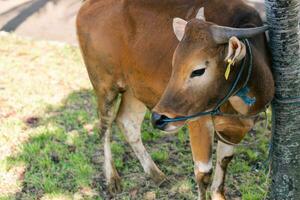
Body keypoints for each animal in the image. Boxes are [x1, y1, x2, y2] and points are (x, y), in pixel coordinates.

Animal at [77, 0, 274, 199]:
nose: (158, 118)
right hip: (104, 86)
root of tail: (87, 5)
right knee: (105, 128)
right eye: (174, 64)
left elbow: (224, 163)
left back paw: (156, 174)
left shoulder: (234, 129)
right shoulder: (199, 121)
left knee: (127, 122)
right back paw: (112, 179)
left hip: (135, 89)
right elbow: (203, 173)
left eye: (198, 70)